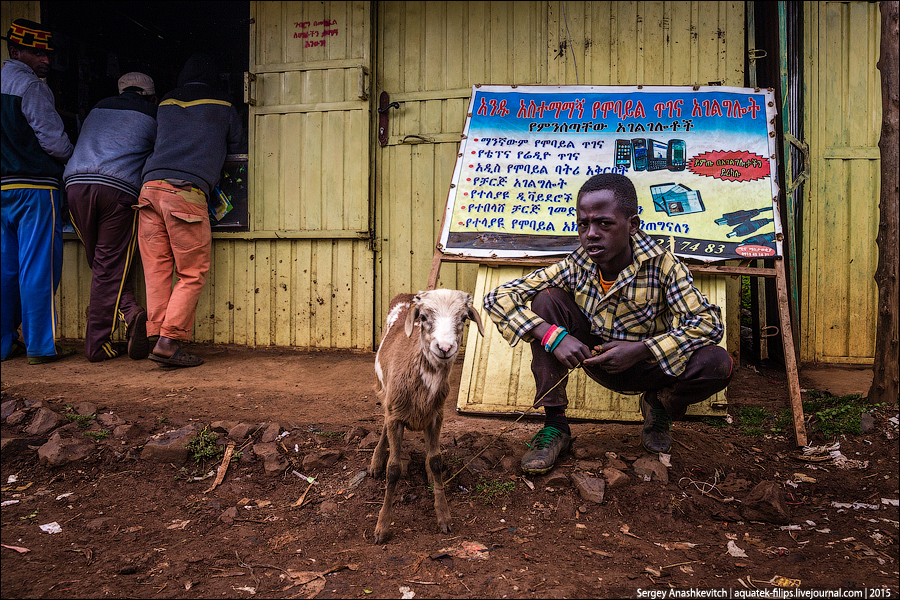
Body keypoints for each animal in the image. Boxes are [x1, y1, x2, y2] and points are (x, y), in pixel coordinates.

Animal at [370, 290, 486, 544]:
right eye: (423, 317)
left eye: (464, 318)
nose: (444, 347)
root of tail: (406, 295)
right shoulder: (395, 415)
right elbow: (393, 469)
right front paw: (382, 526)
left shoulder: (436, 417)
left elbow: (436, 461)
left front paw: (444, 517)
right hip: (384, 390)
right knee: (383, 421)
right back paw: (375, 461)